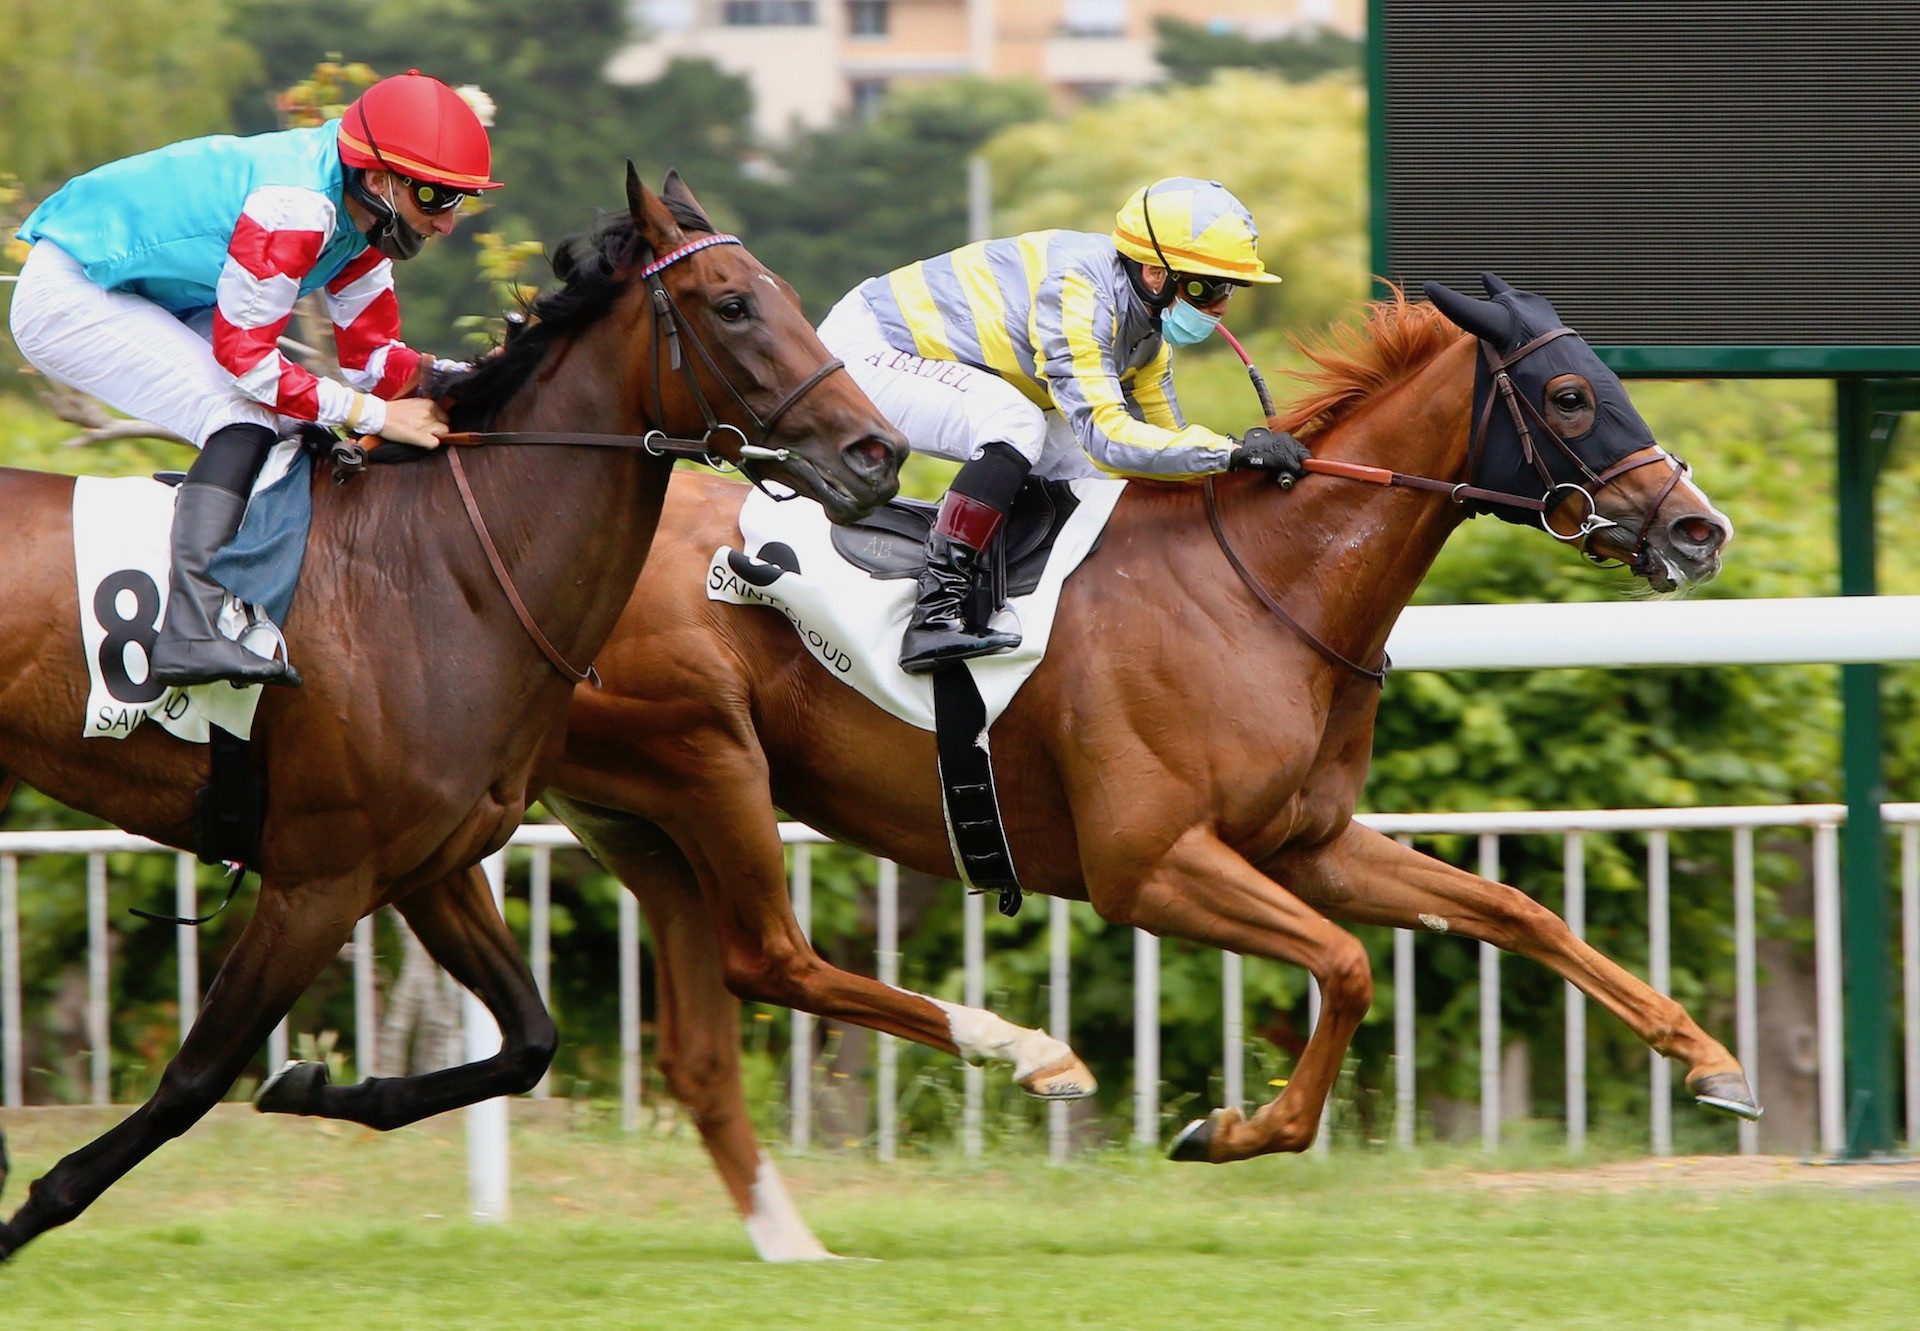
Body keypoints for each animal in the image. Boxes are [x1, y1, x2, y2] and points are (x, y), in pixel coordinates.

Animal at [0, 166, 906, 1259]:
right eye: (733, 305)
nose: (880, 451)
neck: (446, 569)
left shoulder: (428, 863)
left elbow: (529, 1040)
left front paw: (325, 1087)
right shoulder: (317, 879)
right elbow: (192, 1078)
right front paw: (34, 1207)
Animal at [266, 272, 1758, 1259]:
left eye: (1612, 377)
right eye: (1567, 393)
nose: (1701, 527)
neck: (1268, 584)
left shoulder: (1307, 840)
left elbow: (1515, 908)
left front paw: (1712, 1058)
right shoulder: (1152, 864)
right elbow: (1344, 966)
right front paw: (1228, 1130)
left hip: (631, 809)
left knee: (699, 1033)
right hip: (702, 758)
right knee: (765, 957)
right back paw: (1025, 1054)